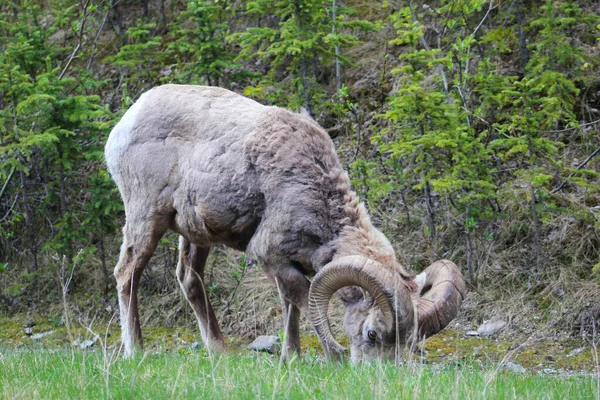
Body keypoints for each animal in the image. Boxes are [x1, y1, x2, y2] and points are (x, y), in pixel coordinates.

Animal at [106, 84, 464, 362]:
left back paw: (221, 352)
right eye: (373, 334)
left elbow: (289, 306)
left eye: (411, 340)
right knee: (127, 273)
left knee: (189, 279)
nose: (379, 373)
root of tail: (125, 123)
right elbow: (304, 300)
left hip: (195, 233)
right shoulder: (269, 254)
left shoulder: (284, 263)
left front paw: (290, 358)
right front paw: (332, 357)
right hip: (146, 216)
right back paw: (135, 351)